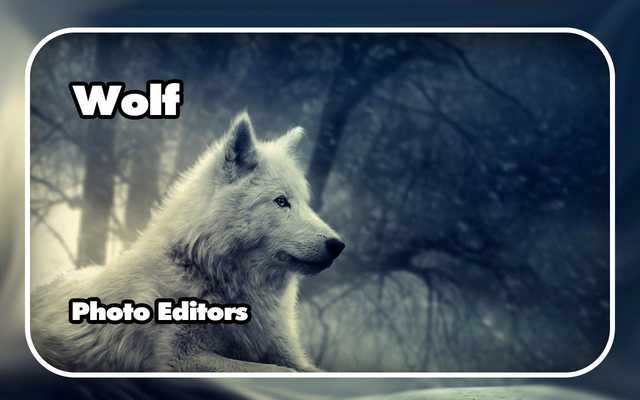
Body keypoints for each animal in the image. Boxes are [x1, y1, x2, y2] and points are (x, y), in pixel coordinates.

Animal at [30, 112, 345, 372]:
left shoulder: (288, 354)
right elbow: (273, 371)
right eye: (281, 201)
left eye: (305, 202)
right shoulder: (181, 358)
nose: (338, 245)